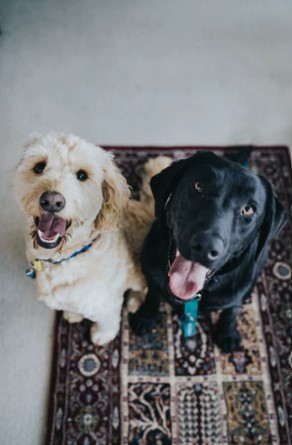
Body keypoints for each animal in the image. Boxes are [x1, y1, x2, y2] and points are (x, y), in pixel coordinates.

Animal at [14, 132, 171, 344]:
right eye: (39, 166)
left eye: (82, 175)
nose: (52, 201)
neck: (66, 258)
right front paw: (73, 314)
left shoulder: (106, 304)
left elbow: (108, 322)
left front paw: (101, 336)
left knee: (143, 288)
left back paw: (134, 301)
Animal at [131, 151, 288, 352]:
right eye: (199, 186)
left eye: (248, 209)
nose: (206, 246)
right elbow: (153, 292)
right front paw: (146, 316)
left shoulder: (238, 292)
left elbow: (231, 310)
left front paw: (227, 333)